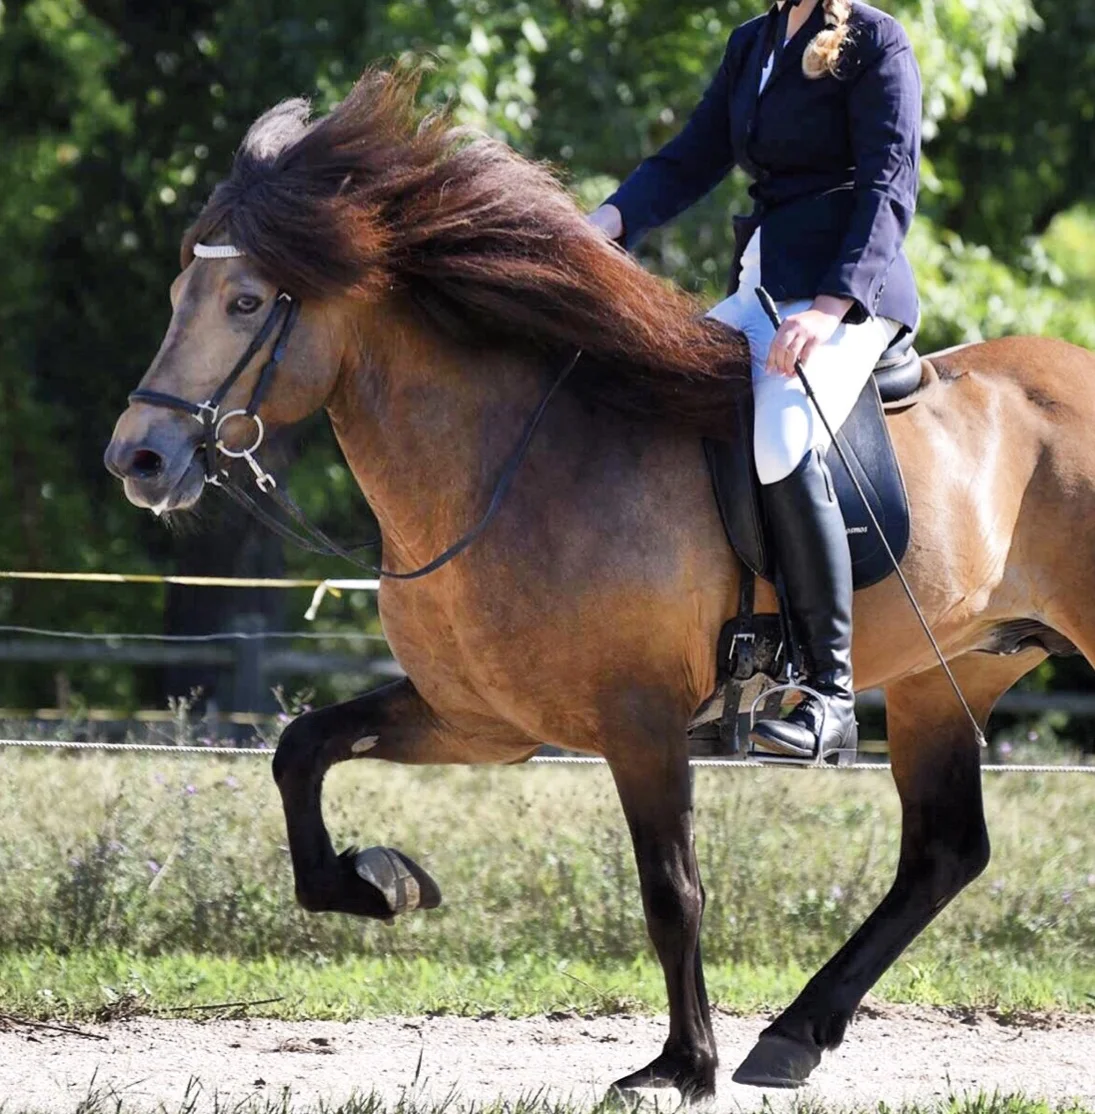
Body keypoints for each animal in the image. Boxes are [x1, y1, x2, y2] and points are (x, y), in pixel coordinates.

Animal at [104, 68, 1093, 1095]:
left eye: (246, 302)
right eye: (181, 292)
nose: (138, 458)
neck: (504, 467)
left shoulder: (640, 724)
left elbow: (671, 890)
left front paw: (681, 1064)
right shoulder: (477, 719)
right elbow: (300, 750)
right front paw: (381, 881)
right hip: (950, 675)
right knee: (944, 852)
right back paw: (793, 1034)